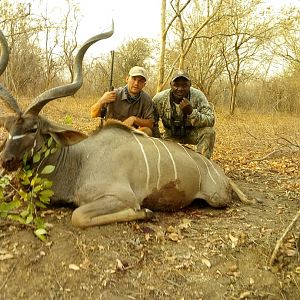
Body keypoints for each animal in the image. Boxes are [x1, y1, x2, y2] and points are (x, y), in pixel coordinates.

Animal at [0, 28, 247, 230]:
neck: (78, 161)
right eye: (8, 126)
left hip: (216, 198)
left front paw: (146, 212)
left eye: (33, 128)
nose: (6, 160)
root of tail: (220, 173)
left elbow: (78, 216)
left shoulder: (121, 196)